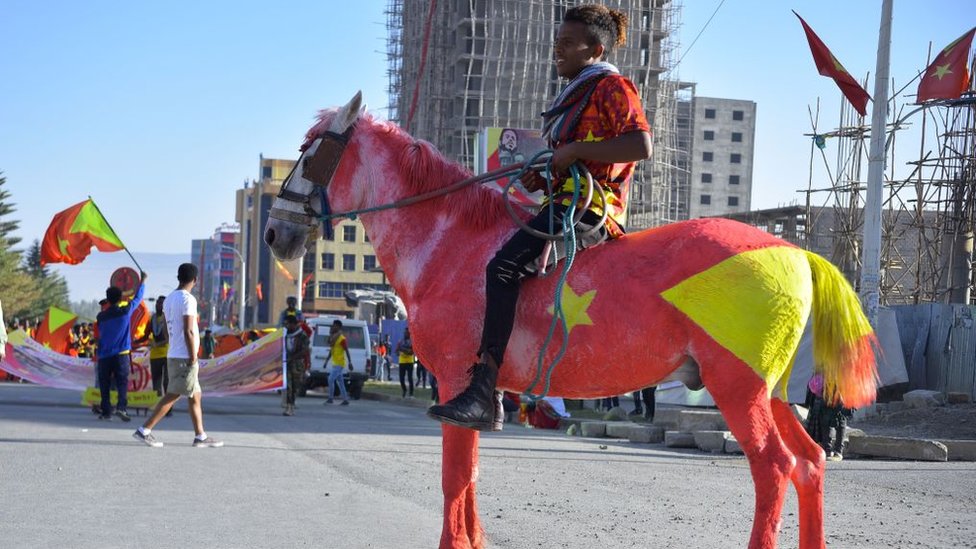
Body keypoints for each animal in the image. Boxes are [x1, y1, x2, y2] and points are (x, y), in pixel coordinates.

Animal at [264, 94, 880, 548]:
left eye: (309, 153)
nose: (274, 233)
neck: (450, 243)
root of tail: (794, 251)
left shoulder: (454, 380)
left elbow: (454, 477)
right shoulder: (475, 394)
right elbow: (470, 474)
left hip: (738, 388)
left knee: (774, 468)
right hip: (772, 392)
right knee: (810, 462)